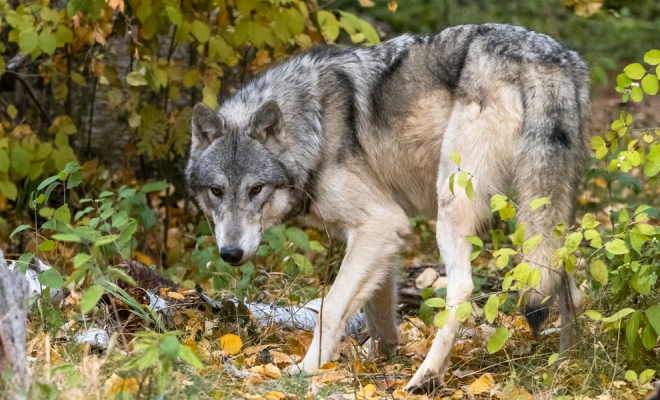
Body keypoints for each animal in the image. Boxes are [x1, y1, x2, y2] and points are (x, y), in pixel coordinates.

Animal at [187, 23, 592, 392]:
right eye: (216, 191)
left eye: (256, 189)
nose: (231, 253)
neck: (314, 127)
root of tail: (542, 56)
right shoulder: (383, 237)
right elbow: (378, 317)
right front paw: (376, 365)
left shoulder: (380, 224)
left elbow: (332, 307)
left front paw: (304, 371)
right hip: (535, 218)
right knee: (569, 289)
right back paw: (569, 369)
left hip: (456, 211)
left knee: (462, 289)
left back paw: (425, 378)